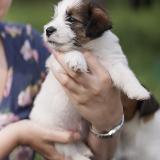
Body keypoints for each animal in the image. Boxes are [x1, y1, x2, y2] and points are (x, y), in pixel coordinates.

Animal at [29, 0, 150, 160]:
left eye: (71, 19)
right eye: (55, 16)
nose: (48, 30)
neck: (89, 47)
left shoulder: (114, 61)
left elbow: (126, 74)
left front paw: (139, 91)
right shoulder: (56, 62)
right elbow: (69, 51)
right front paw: (77, 60)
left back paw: (83, 149)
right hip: (56, 130)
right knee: (66, 148)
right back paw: (80, 156)